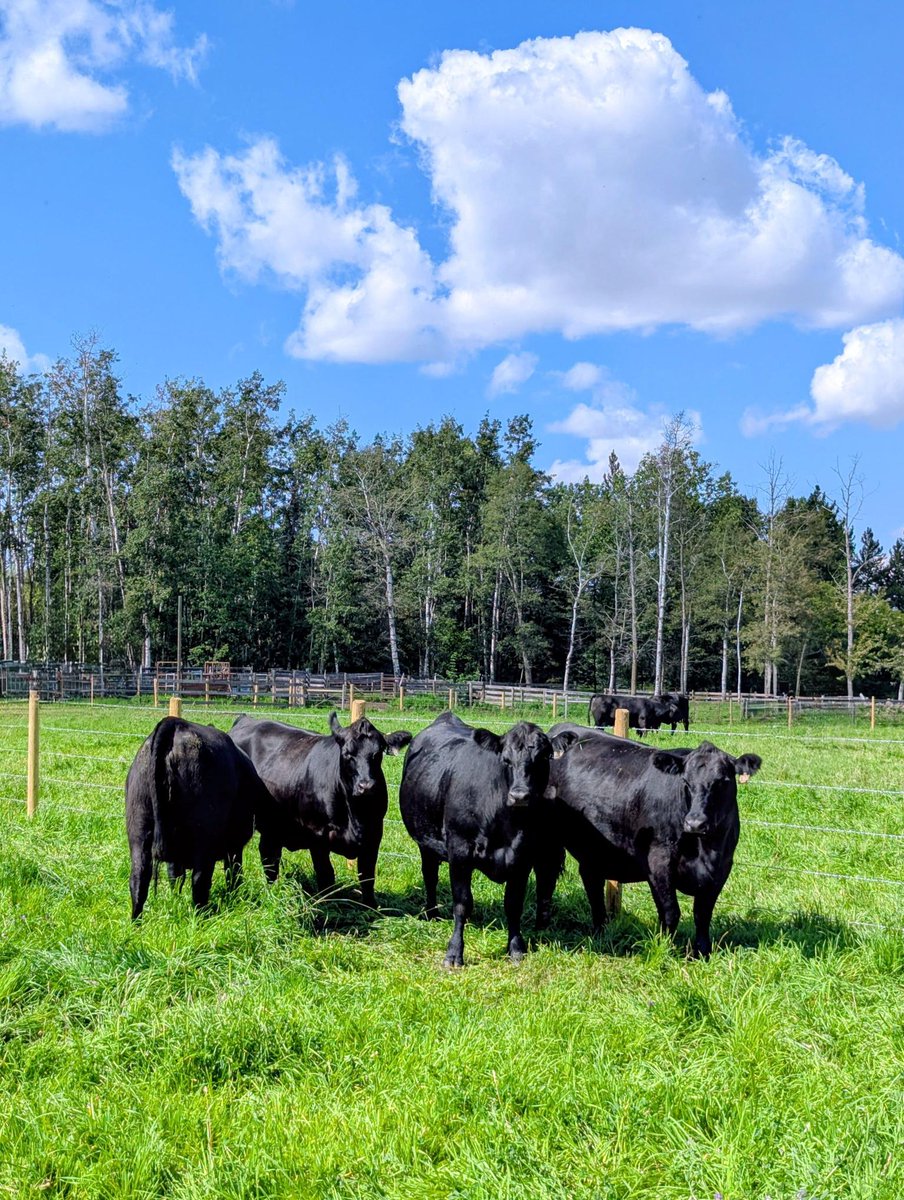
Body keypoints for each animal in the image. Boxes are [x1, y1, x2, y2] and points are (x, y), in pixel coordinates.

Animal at [126, 716, 272, 920]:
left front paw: (176, 900)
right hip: (205, 836)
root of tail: (175, 724)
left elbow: (174, 875)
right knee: (200, 879)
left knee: (139, 879)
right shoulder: (234, 844)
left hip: (139, 830)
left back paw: (136, 922)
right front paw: (235, 895)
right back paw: (202, 917)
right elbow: (233, 872)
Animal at [229, 712, 412, 905]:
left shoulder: (374, 834)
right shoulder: (317, 836)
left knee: (269, 855)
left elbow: (367, 877)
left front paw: (371, 907)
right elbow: (326, 875)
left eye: (377, 754)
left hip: (274, 827)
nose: (366, 786)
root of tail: (245, 719)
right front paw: (327, 905)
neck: (355, 815)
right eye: (347, 754)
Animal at [398, 711, 579, 968]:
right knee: (430, 876)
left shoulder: (522, 858)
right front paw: (454, 953)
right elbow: (462, 903)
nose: (520, 796)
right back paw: (431, 913)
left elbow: (513, 904)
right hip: (425, 841)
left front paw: (516, 948)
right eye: (505, 759)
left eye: (543, 757)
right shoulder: (459, 852)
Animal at [541, 733, 761, 957]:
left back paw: (600, 931)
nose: (695, 823)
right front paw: (666, 950)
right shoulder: (658, 863)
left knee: (592, 882)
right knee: (549, 877)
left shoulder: (722, 868)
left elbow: (703, 914)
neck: (705, 850)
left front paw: (702, 952)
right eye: (685, 781)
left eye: (723, 782)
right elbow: (670, 912)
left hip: (593, 852)